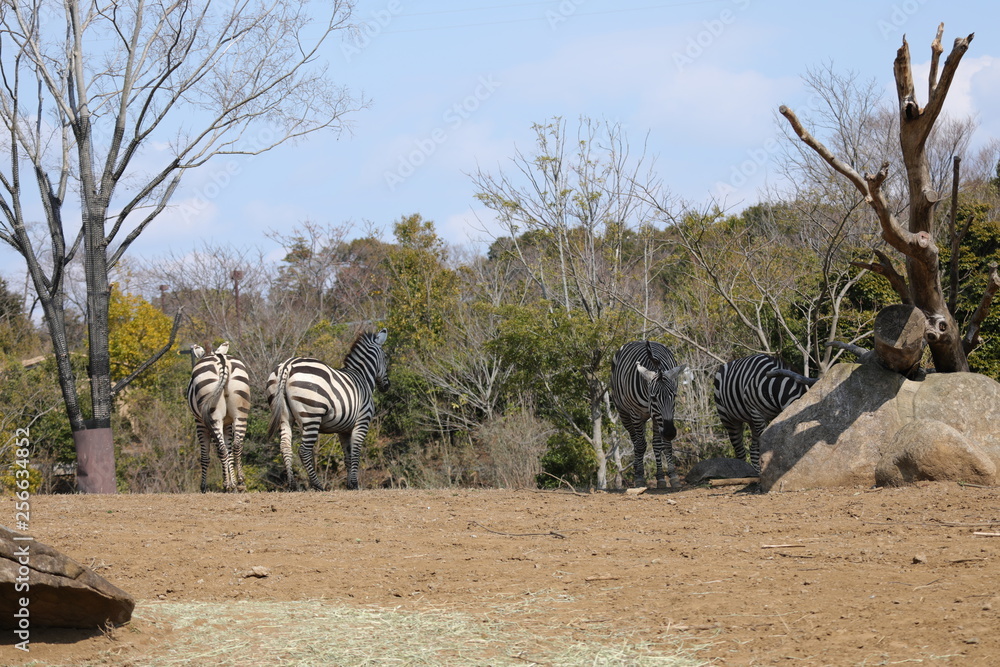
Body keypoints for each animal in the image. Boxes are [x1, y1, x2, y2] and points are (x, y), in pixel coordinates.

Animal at [186, 342, 251, 493]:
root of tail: (222, 361)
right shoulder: (227, 423)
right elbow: (229, 451)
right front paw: (233, 483)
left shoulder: (200, 423)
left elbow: (205, 456)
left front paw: (204, 487)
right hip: (241, 411)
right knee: (237, 445)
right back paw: (240, 482)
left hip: (213, 416)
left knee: (221, 450)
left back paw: (226, 484)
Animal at [266, 329, 390, 491]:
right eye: (386, 358)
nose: (387, 386)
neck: (362, 377)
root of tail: (287, 365)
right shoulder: (362, 421)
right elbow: (356, 452)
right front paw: (355, 484)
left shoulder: (344, 430)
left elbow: (348, 455)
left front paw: (349, 485)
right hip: (311, 415)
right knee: (304, 450)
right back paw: (318, 485)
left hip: (284, 416)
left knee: (285, 447)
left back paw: (293, 486)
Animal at [610, 340, 690, 490]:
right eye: (654, 397)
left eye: (674, 396)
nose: (670, 433)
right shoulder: (636, 413)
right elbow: (640, 445)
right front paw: (640, 478)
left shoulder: (659, 417)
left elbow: (660, 444)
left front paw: (667, 477)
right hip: (624, 413)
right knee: (636, 441)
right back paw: (637, 470)